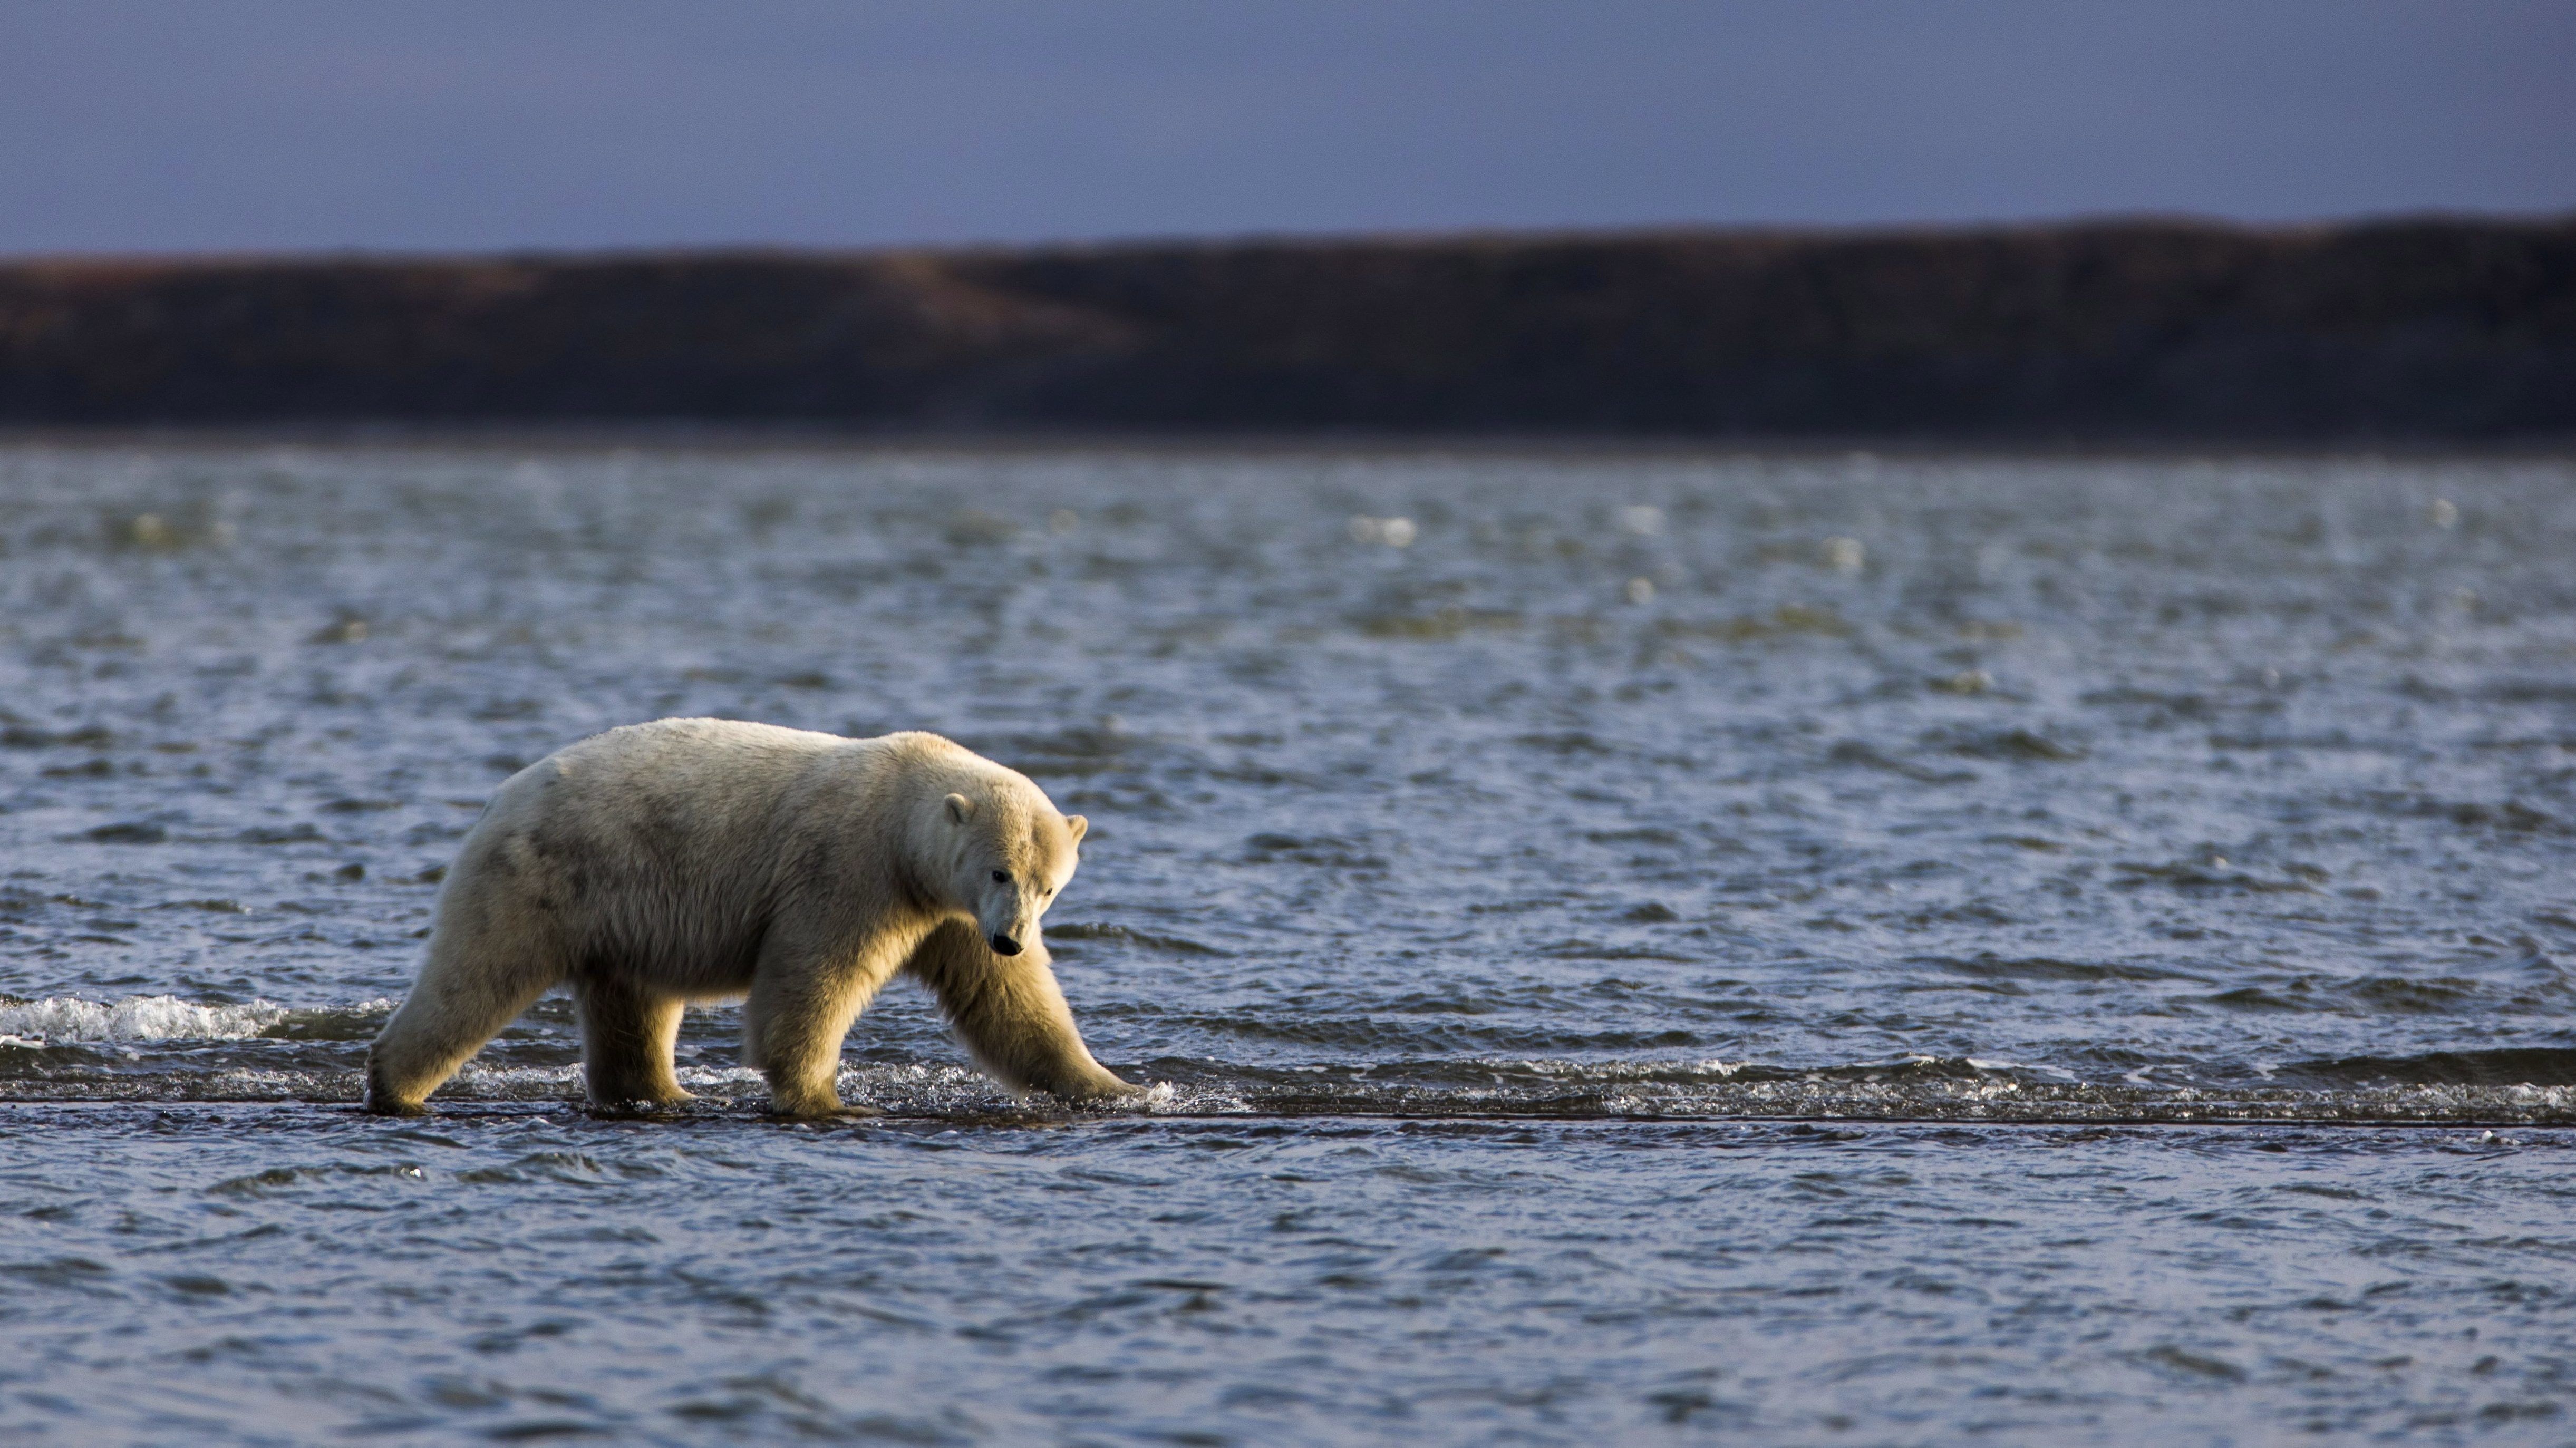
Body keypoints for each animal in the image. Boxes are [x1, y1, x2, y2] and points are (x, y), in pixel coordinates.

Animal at [363, 716, 1138, 1107]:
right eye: (999, 869)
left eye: (1047, 885)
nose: (1013, 937)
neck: (902, 816)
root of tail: (500, 798)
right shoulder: (848, 871)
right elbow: (813, 978)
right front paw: (824, 1096)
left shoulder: (951, 911)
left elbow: (1009, 1004)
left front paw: (1116, 1086)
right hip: (542, 878)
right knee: (476, 976)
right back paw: (396, 1084)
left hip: (622, 911)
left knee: (631, 1003)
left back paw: (667, 1093)